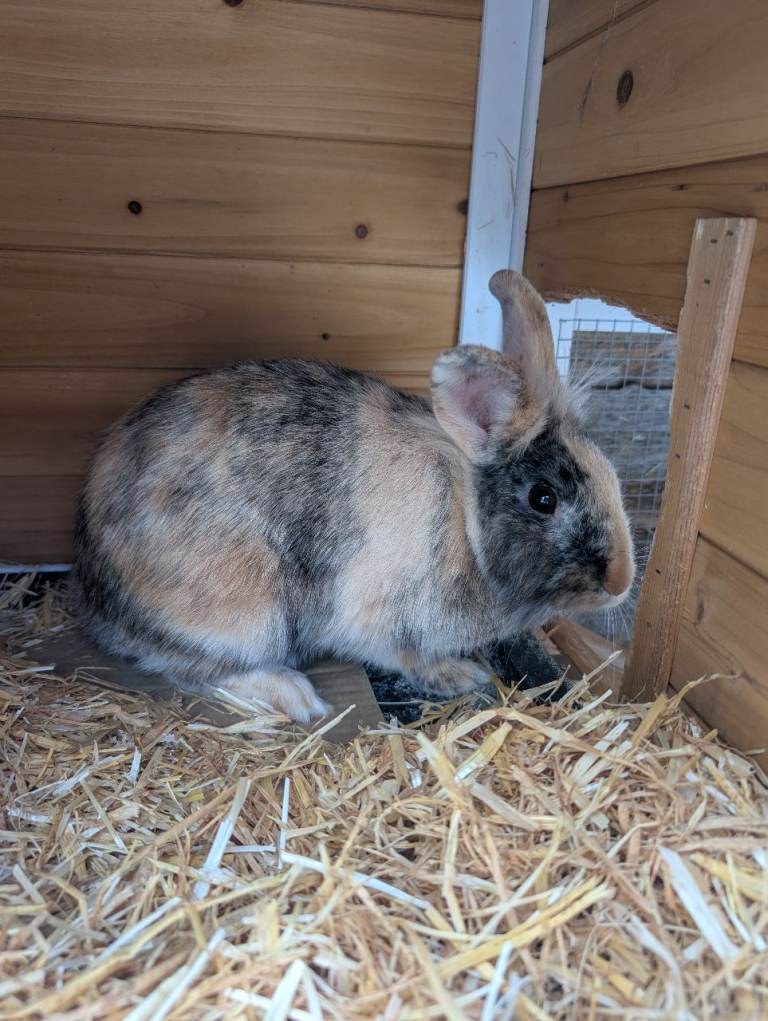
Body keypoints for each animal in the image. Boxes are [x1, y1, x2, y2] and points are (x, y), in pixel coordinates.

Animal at [71, 270, 635, 723]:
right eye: (543, 498)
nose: (621, 581)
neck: (464, 516)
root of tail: (97, 594)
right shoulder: (380, 617)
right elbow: (405, 656)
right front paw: (459, 675)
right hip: (245, 614)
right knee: (201, 668)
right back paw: (297, 697)